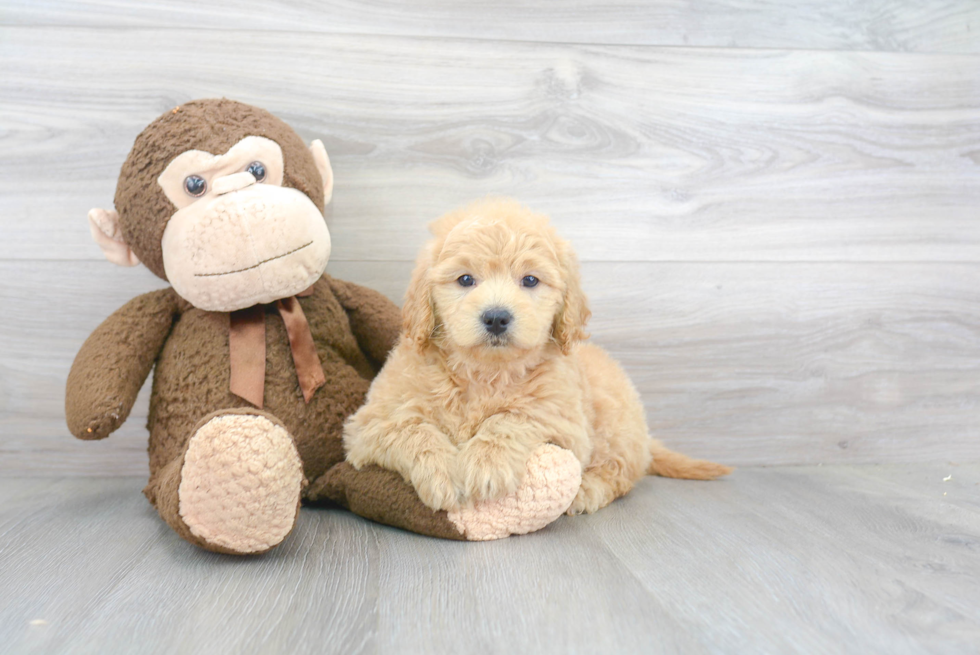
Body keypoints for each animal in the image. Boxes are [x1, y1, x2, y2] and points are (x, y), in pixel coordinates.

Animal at [342, 197, 728, 516]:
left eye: (530, 280)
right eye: (465, 279)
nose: (496, 317)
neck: (483, 372)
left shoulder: (562, 420)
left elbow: (513, 418)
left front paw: (486, 463)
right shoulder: (372, 422)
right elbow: (415, 431)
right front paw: (442, 474)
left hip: (616, 426)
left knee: (621, 472)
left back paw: (587, 490)